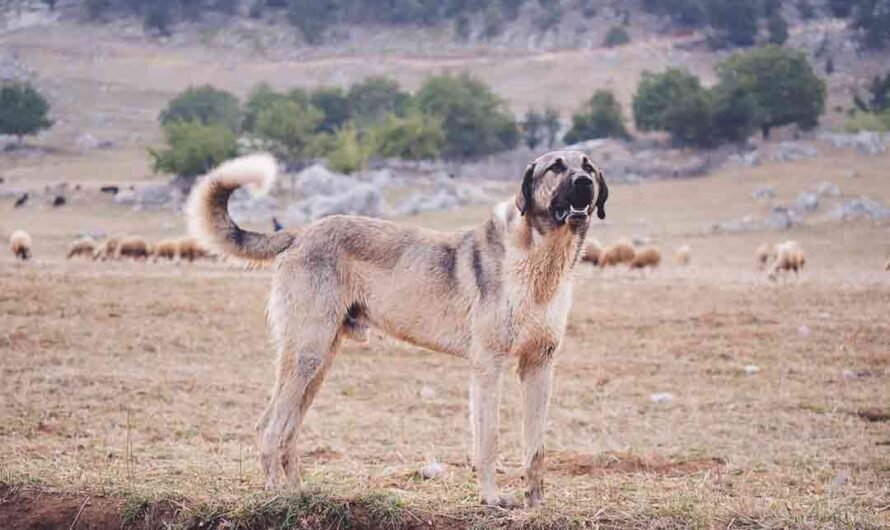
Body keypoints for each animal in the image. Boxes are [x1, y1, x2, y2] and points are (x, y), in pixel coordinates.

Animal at [186, 151, 604, 506]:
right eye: (555, 167)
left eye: (588, 165)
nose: (585, 182)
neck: (542, 261)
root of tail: (301, 231)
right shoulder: (489, 366)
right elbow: (488, 439)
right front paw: (491, 499)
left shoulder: (539, 366)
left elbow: (536, 446)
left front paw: (536, 503)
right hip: (307, 355)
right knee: (268, 429)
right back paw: (277, 496)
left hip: (319, 362)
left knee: (287, 431)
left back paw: (300, 493)